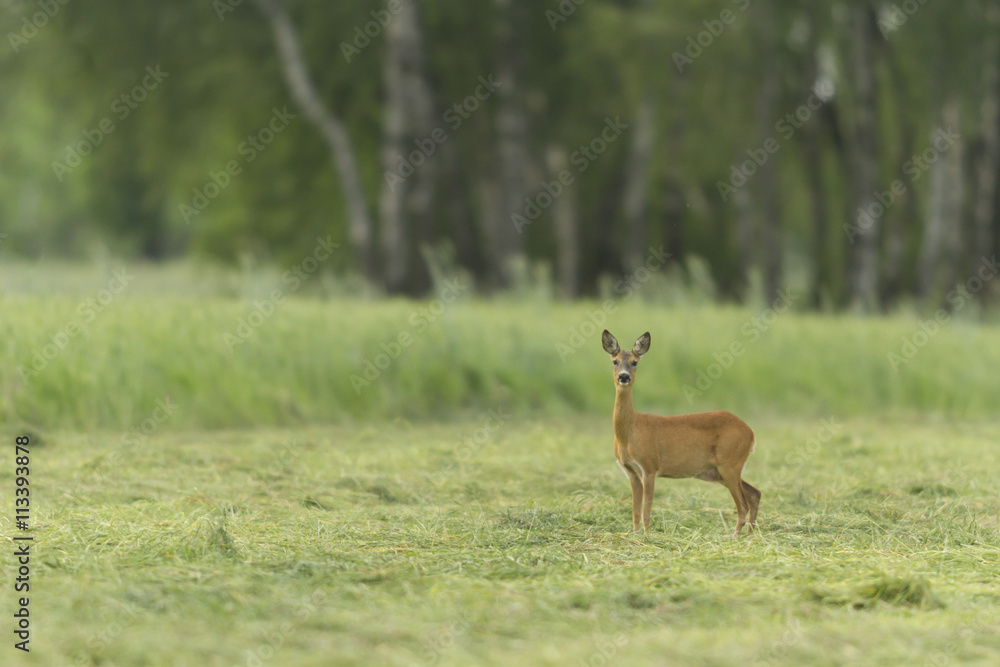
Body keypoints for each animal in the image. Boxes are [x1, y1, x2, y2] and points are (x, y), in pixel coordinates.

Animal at [604, 330, 760, 536]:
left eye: (635, 362)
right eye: (614, 361)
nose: (624, 376)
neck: (631, 432)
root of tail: (751, 432)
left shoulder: (650, 466)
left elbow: (646, 509)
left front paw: (647, 535)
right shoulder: (631, 471)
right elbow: (635, 510)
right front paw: (635, 534)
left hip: (730, 462)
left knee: (743, 503)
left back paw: (733, 536)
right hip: (719, 471)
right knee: (754, 493)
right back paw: (750, 535)